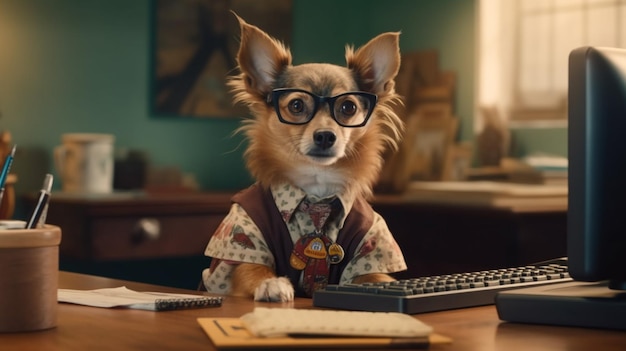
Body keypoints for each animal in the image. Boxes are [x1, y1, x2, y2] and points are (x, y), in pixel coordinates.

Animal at [200, 13, 404, 302]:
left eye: (348, 107)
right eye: (296, 105)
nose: (325, 136)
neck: (317, 190)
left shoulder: (370, 248)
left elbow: (376, 279)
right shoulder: (242, 239)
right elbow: (252, 270)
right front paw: (272, 283)